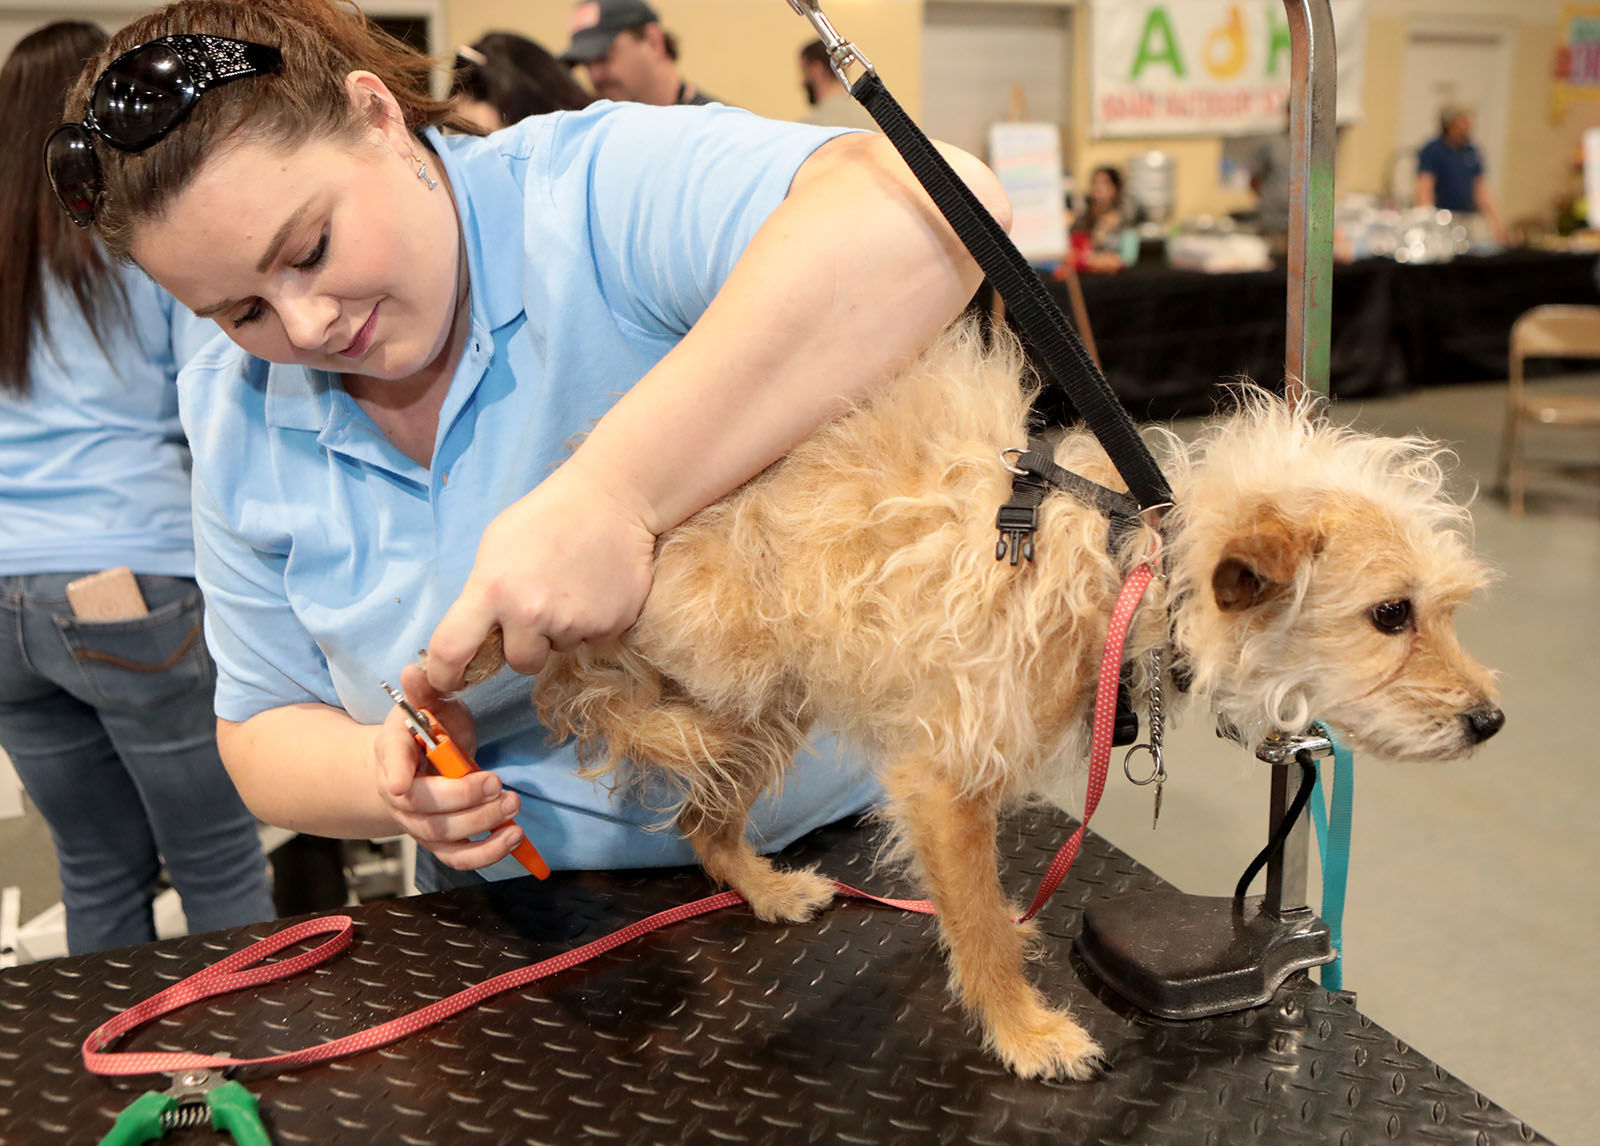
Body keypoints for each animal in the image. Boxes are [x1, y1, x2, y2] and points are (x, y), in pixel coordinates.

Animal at [460, 318, 1497, 1081]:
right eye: (1390, 614)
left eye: (1444, 608)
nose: (1490, 719)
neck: (1126, 568)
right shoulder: (942, 786)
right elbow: (981, 927)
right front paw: (1024, 1031)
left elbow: (985, 908)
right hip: (732, 675)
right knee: (606, 716)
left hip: (769, 707)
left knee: (703, 821)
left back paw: (763, 886)